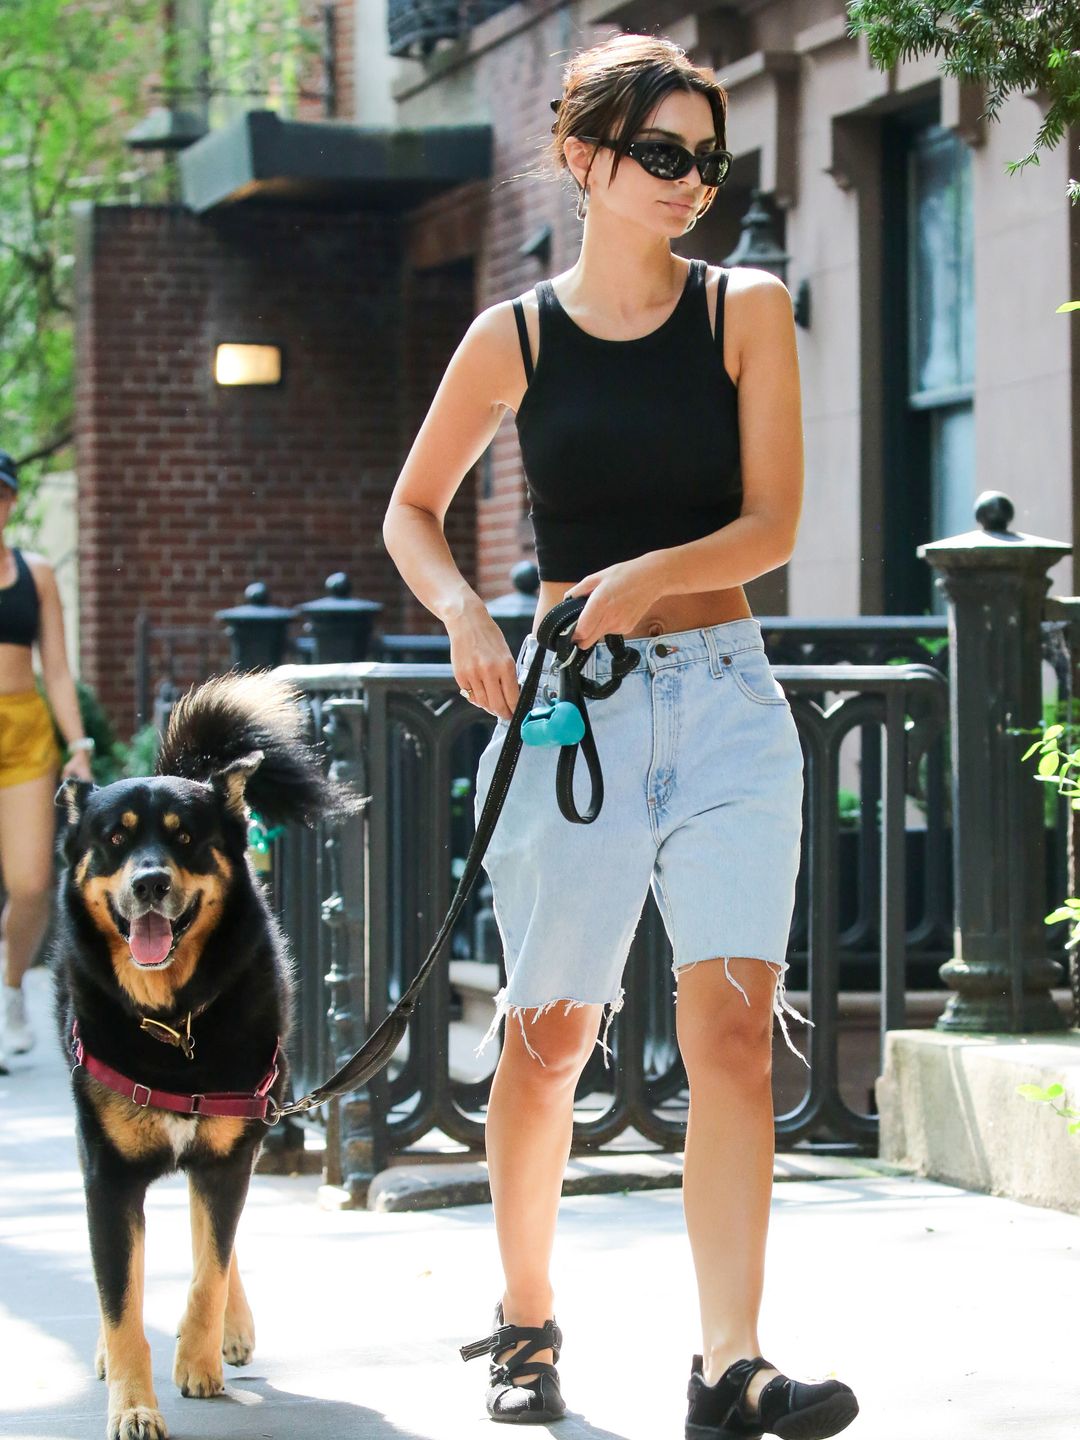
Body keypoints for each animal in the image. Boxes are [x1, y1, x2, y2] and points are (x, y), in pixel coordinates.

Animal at [55, 673, 355, 1440]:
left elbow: (210, 1264)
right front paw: (133, 1403)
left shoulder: (228, 1147)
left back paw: (229, 1328)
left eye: (186, 838)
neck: (172, 1021)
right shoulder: (107, 1174)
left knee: (213, 1236)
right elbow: (120, 1298)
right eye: (114, 840)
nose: (150, 882)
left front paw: (199, 1354)